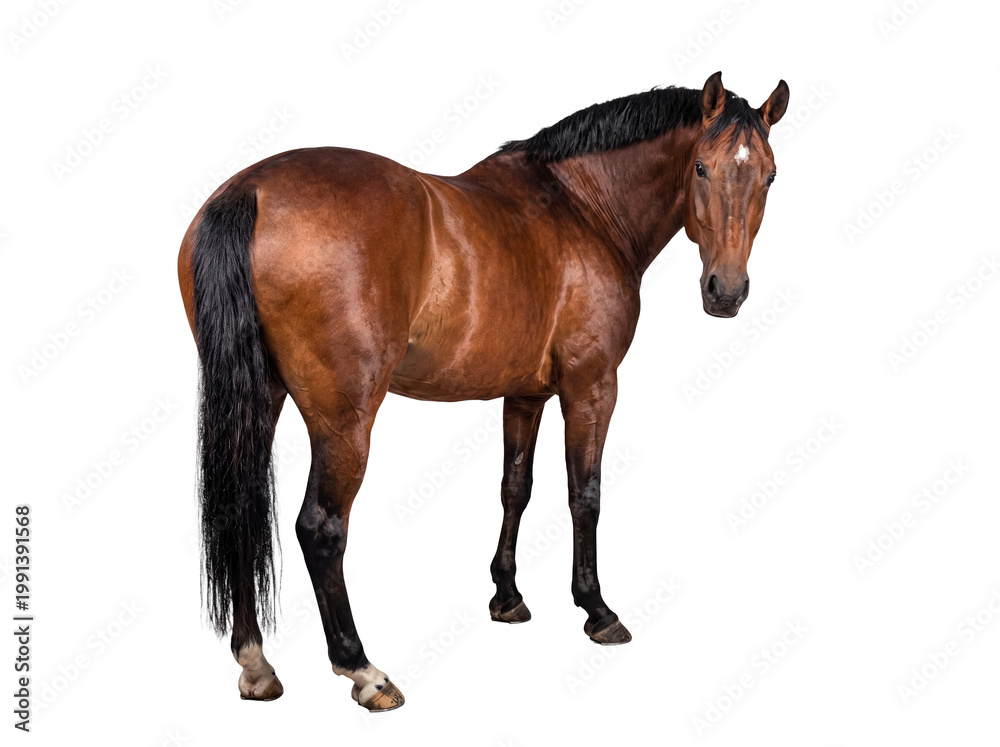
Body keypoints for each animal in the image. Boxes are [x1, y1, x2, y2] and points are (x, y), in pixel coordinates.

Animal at [177, 71, 788, 711]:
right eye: (701, 167)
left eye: (769, 175)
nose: (726, 291)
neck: (582, 207)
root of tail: (250, 191)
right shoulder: (592, 387)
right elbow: (585, 495)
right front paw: (596, 609)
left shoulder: (524, 396)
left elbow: (514, 489)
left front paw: (507, 597)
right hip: (343, 420)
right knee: (320, 528)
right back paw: (362, 668)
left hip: (259, 400)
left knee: (240, 511)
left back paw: (255, 662)